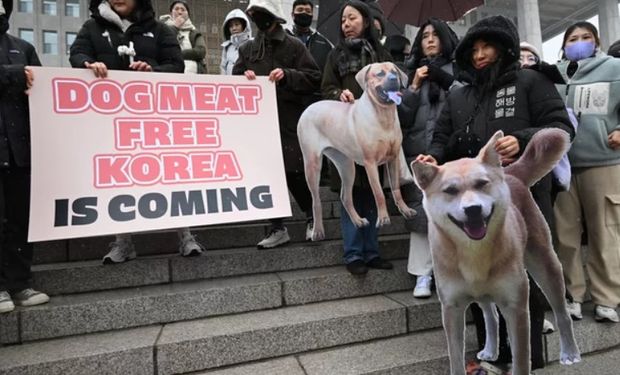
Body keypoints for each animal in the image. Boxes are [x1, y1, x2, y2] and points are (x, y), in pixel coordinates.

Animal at [296, 61, 414, 241]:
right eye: (380, 74)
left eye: (395, 72)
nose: (394, 79)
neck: (383, 114)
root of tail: (308, 108)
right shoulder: (370, 163)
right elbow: (378, 192)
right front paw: (383, 218)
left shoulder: (393, 159)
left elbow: (396, 188)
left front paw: (405, 210)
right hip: (312, 163)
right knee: (315, 199)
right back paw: (317, 231)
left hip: (346, 165)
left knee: (345, 197)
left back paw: (358, 221)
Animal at [412, 129, 580, 375]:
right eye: (450, 191)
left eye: (482, 183)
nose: (472, 209)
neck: (474, 251)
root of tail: (510, 173)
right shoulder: (452, 308)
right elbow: (456, 357)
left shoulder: (515, 306)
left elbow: (521, 359)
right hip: (481, 292)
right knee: (490, 316)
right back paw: (491, 350)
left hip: (545, 264)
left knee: (561, 312)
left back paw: (570, 352)